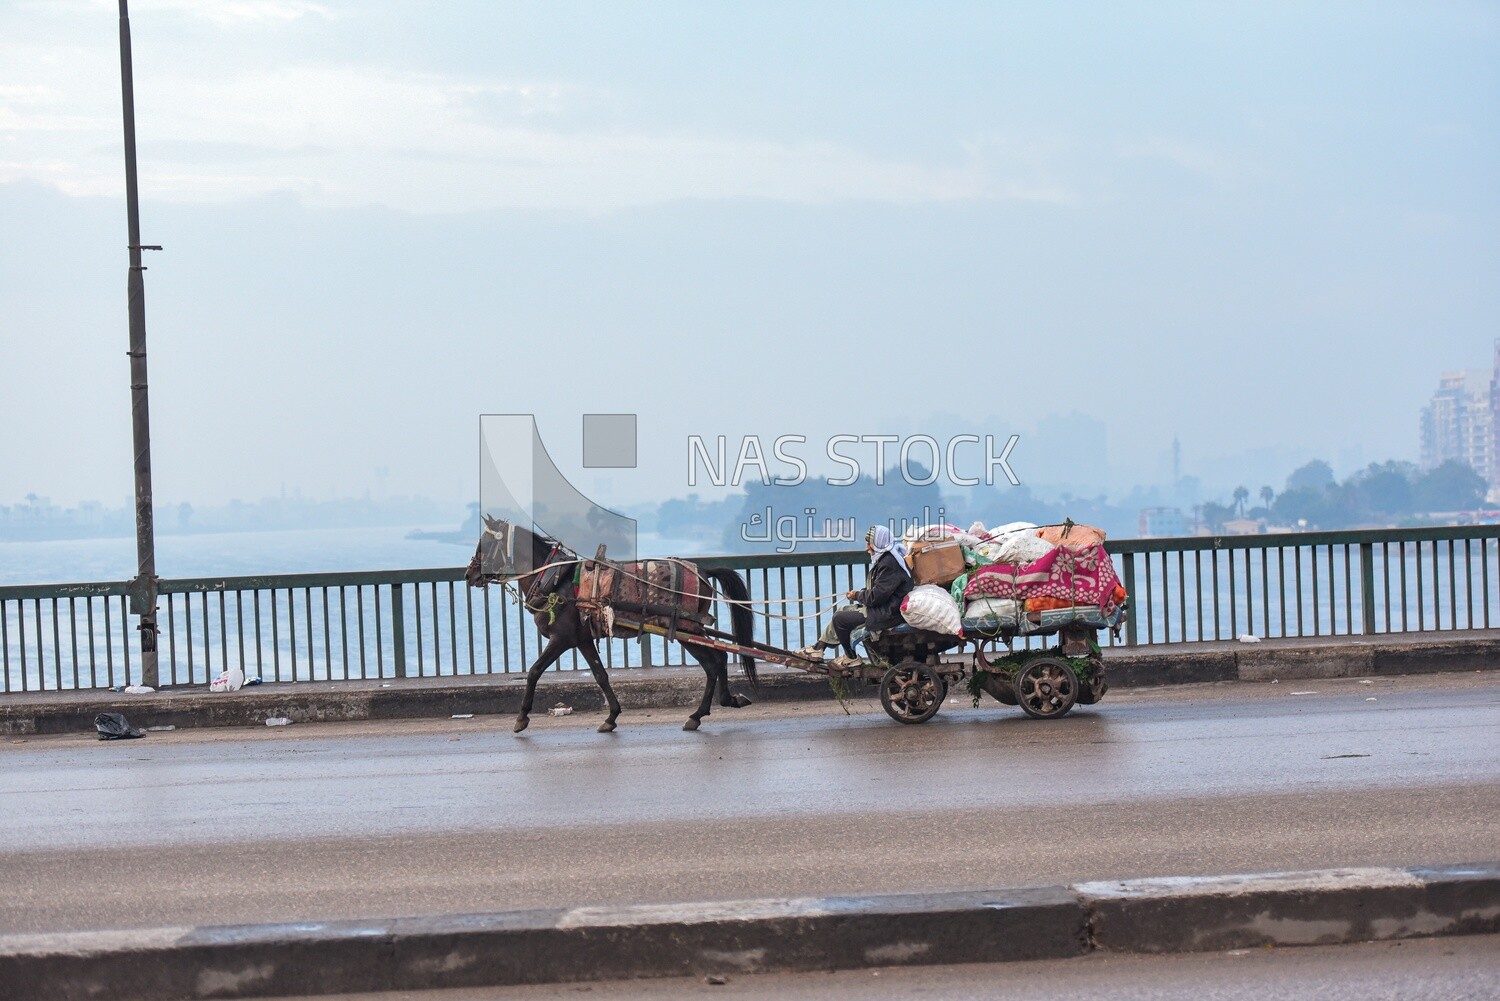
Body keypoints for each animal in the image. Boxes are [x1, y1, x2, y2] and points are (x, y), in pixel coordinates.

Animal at [462, 522, 756, 732]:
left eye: (483, 546)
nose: (469, 575)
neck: (554, 580)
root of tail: (703, 572)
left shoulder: (561, 638)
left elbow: (534, 671)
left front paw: (522, 717)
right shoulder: (582, 639)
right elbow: (600, 675)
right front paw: (612, 716)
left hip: (687, 629)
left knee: (714, 662)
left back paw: (700, 713)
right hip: (693, 629)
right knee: (719, 660)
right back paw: (720, 703)